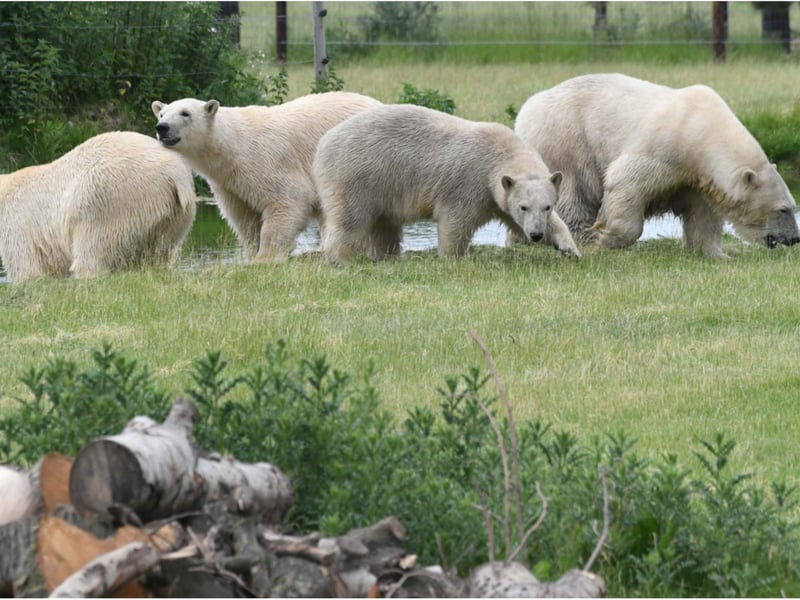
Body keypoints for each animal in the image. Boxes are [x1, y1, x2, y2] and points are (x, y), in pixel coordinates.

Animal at [0, 131, 197, 283]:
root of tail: (176, 174)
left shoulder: (16, 223)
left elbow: (26, 269)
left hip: (106, 197)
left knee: (92, 248)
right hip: (175, 214)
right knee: (159, 250)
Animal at [151, 92, 383, 262]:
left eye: (185, 113)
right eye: (162, 113)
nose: (162, 128)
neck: (234, 145)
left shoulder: (267, 161)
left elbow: (288, 201)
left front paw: (266, 257)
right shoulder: (229, 184)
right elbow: (244, 218)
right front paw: (253, 253)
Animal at [313, 103, 580, 264]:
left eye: (547, 206)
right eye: (524, 206)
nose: (535, 235)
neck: (499, 153)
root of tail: (323, 143)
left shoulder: (497, 196)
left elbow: (514, 219)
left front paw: (569, 248)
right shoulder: (470, 183)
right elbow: (456, 221)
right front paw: (455, 259)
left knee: (384, 226)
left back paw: (387, 257)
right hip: (357, 175)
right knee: (350, 220)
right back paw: (340, 259)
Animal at [515, 73, 800, 257]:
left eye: (792, 207)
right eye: (784, 209)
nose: (794, 237)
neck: (699, 129)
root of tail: (524, 111)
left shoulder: (697, 175)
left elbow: (703, 215)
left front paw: (717, 254)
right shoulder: (663, 146)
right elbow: (626, 182)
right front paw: (605, 238)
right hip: (566, 142)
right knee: (574, 194)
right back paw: (580, 235)